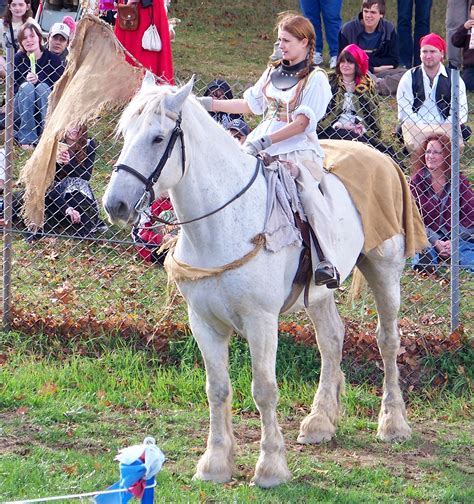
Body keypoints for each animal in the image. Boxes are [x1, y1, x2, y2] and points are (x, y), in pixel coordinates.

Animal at [103, 75, 412, 488]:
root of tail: (383, 159)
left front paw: (270, 467)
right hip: (318, 293)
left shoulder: (261, 321)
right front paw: (215, 463)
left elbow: (264, 390)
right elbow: (217, 389)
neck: (222, 224)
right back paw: (320, 422)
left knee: (387, 340)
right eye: (126, 133)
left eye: (157, 138)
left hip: (385, 270)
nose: (115, 205)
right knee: (331, 339)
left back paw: (393, 423)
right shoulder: (203, 323)